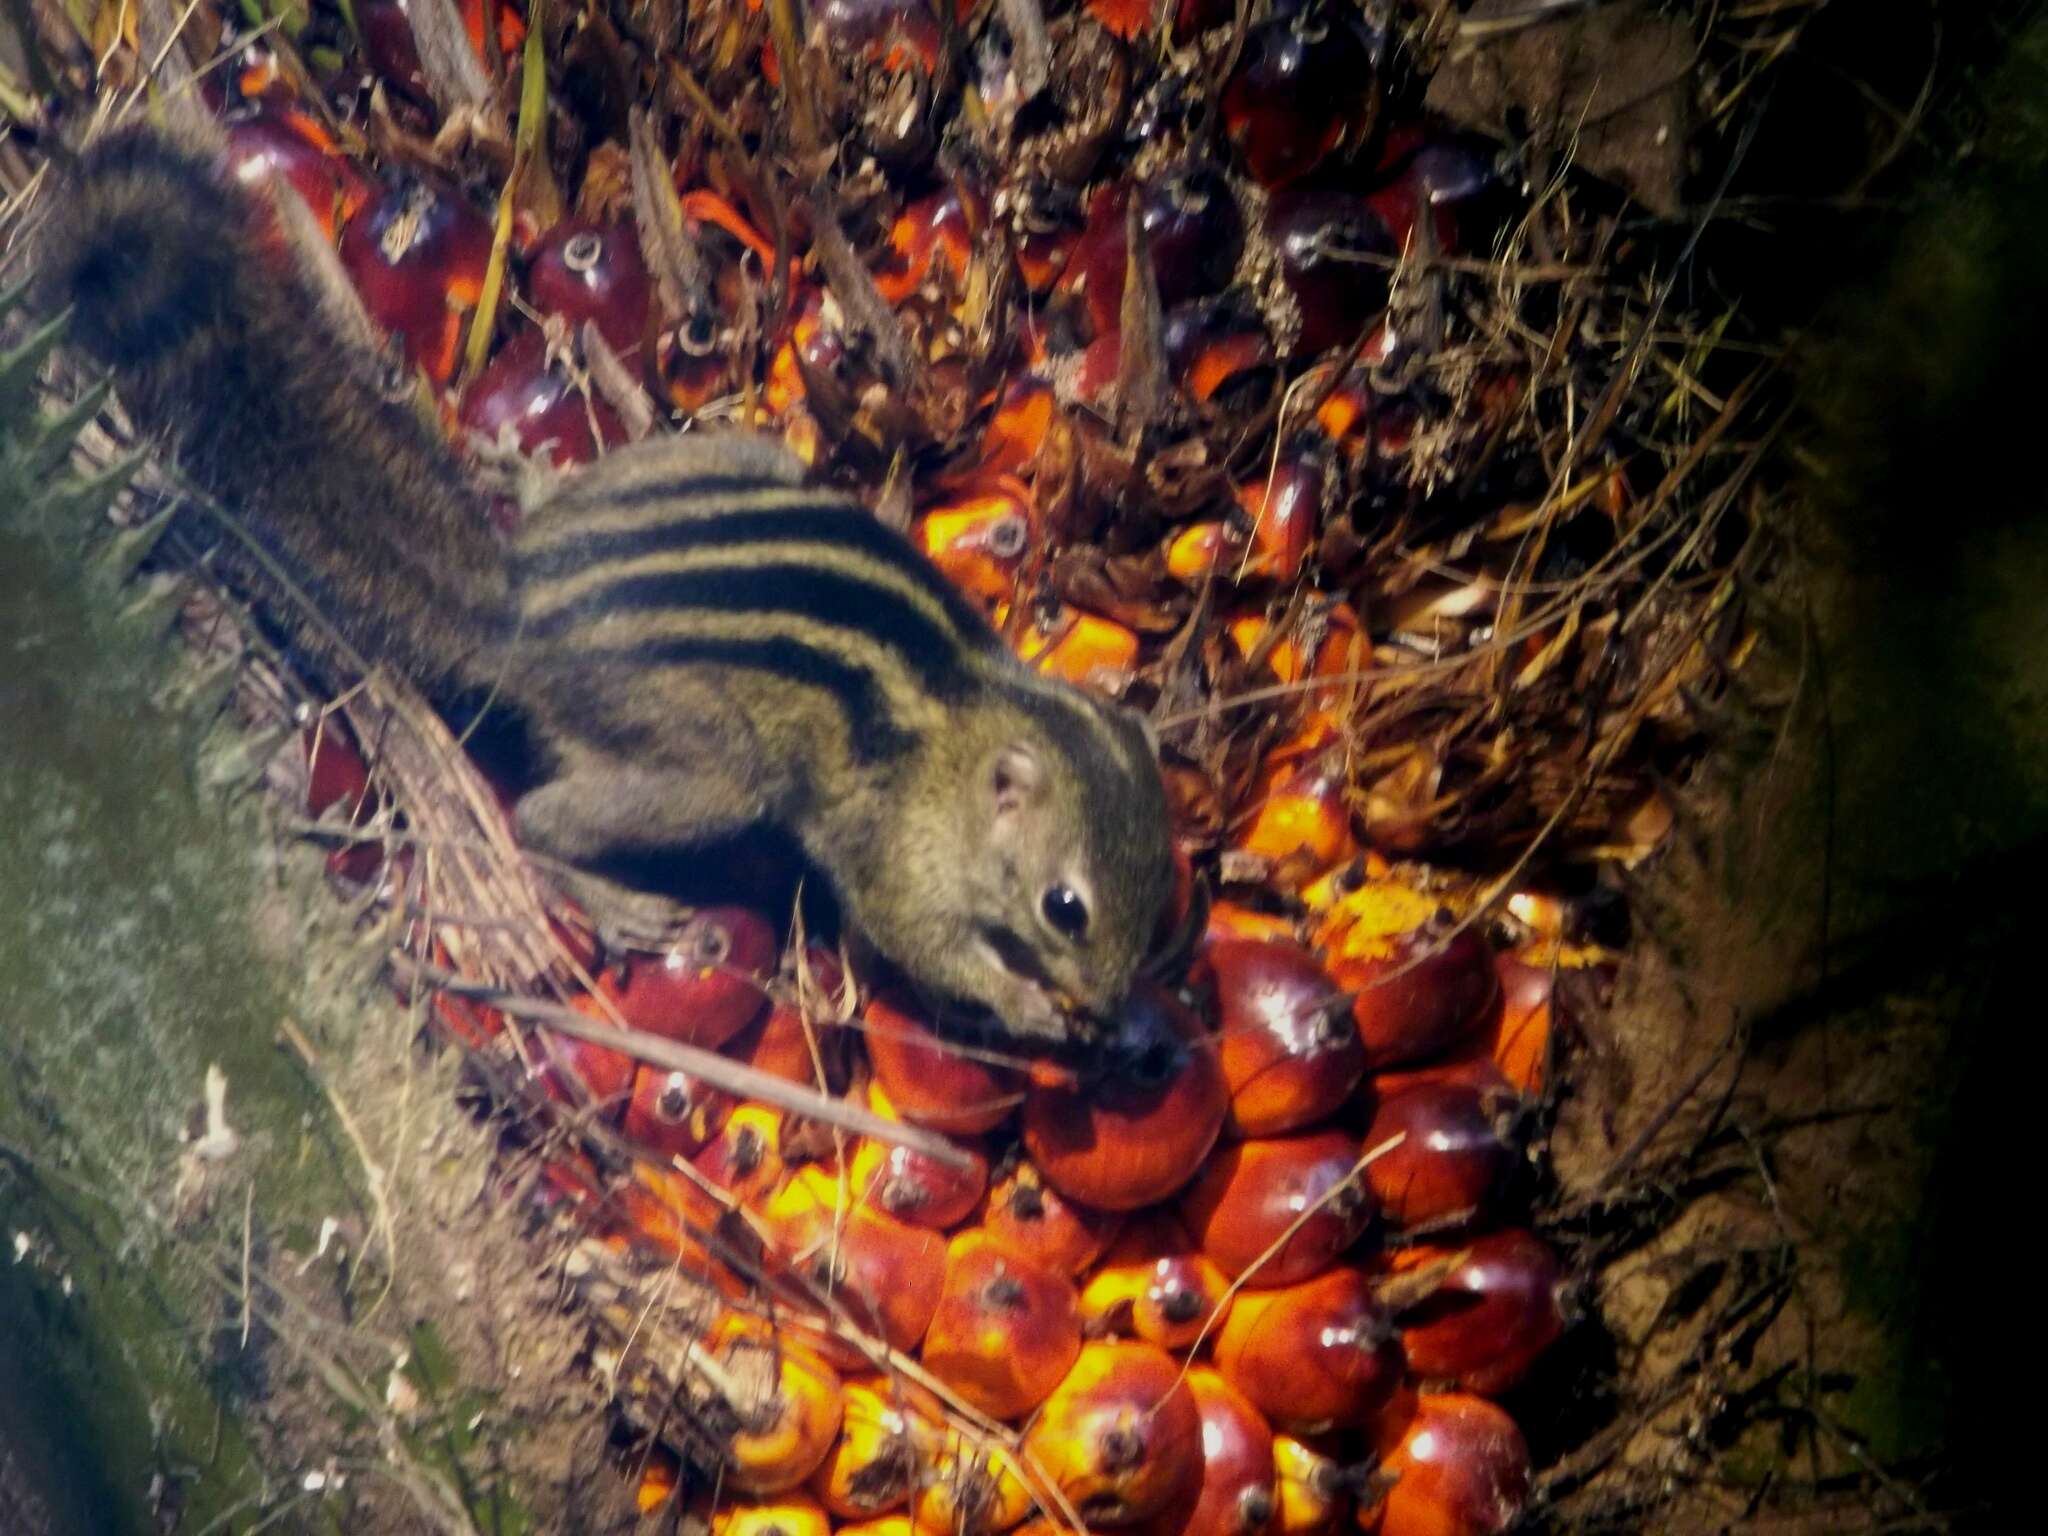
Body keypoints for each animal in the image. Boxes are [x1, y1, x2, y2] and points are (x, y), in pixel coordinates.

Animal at [36, 129, 1171, 1048]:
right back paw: (611, 897)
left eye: (1164, 911)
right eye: (1065, 908)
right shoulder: (899, 858)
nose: (1116, 1012)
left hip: (739, 458)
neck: (975, 715)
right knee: (541, 819)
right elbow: (920, 942)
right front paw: (1027, 1005)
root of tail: (519, 601)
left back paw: (533, 480)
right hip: (705, 770)